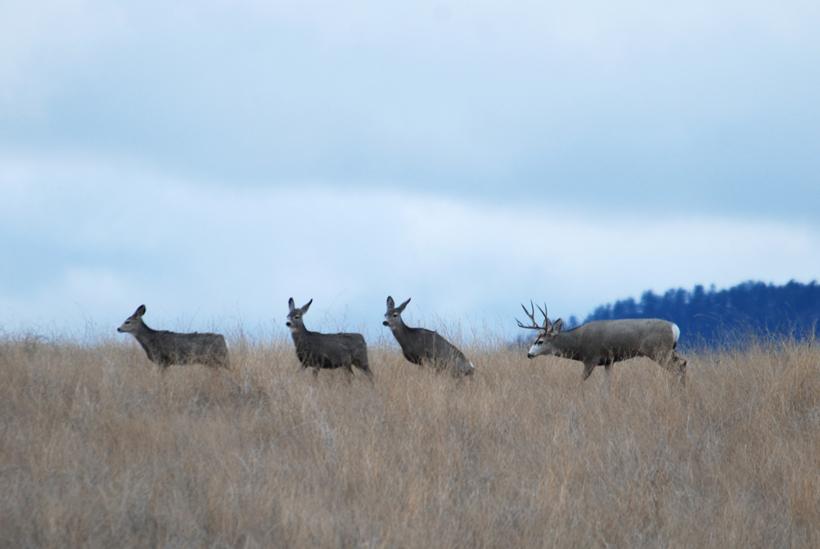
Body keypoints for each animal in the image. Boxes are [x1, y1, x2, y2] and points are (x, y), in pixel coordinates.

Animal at [516, 302, 687, 384]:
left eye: (540, 341)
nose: (529, 354)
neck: (578, 343)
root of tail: (675, 328)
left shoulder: (591, 358)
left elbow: (580, 381)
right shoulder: (608, 361)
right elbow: (607, 384)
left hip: (659, 351)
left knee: (677, 369)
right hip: (670, 350)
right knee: (683, 363)